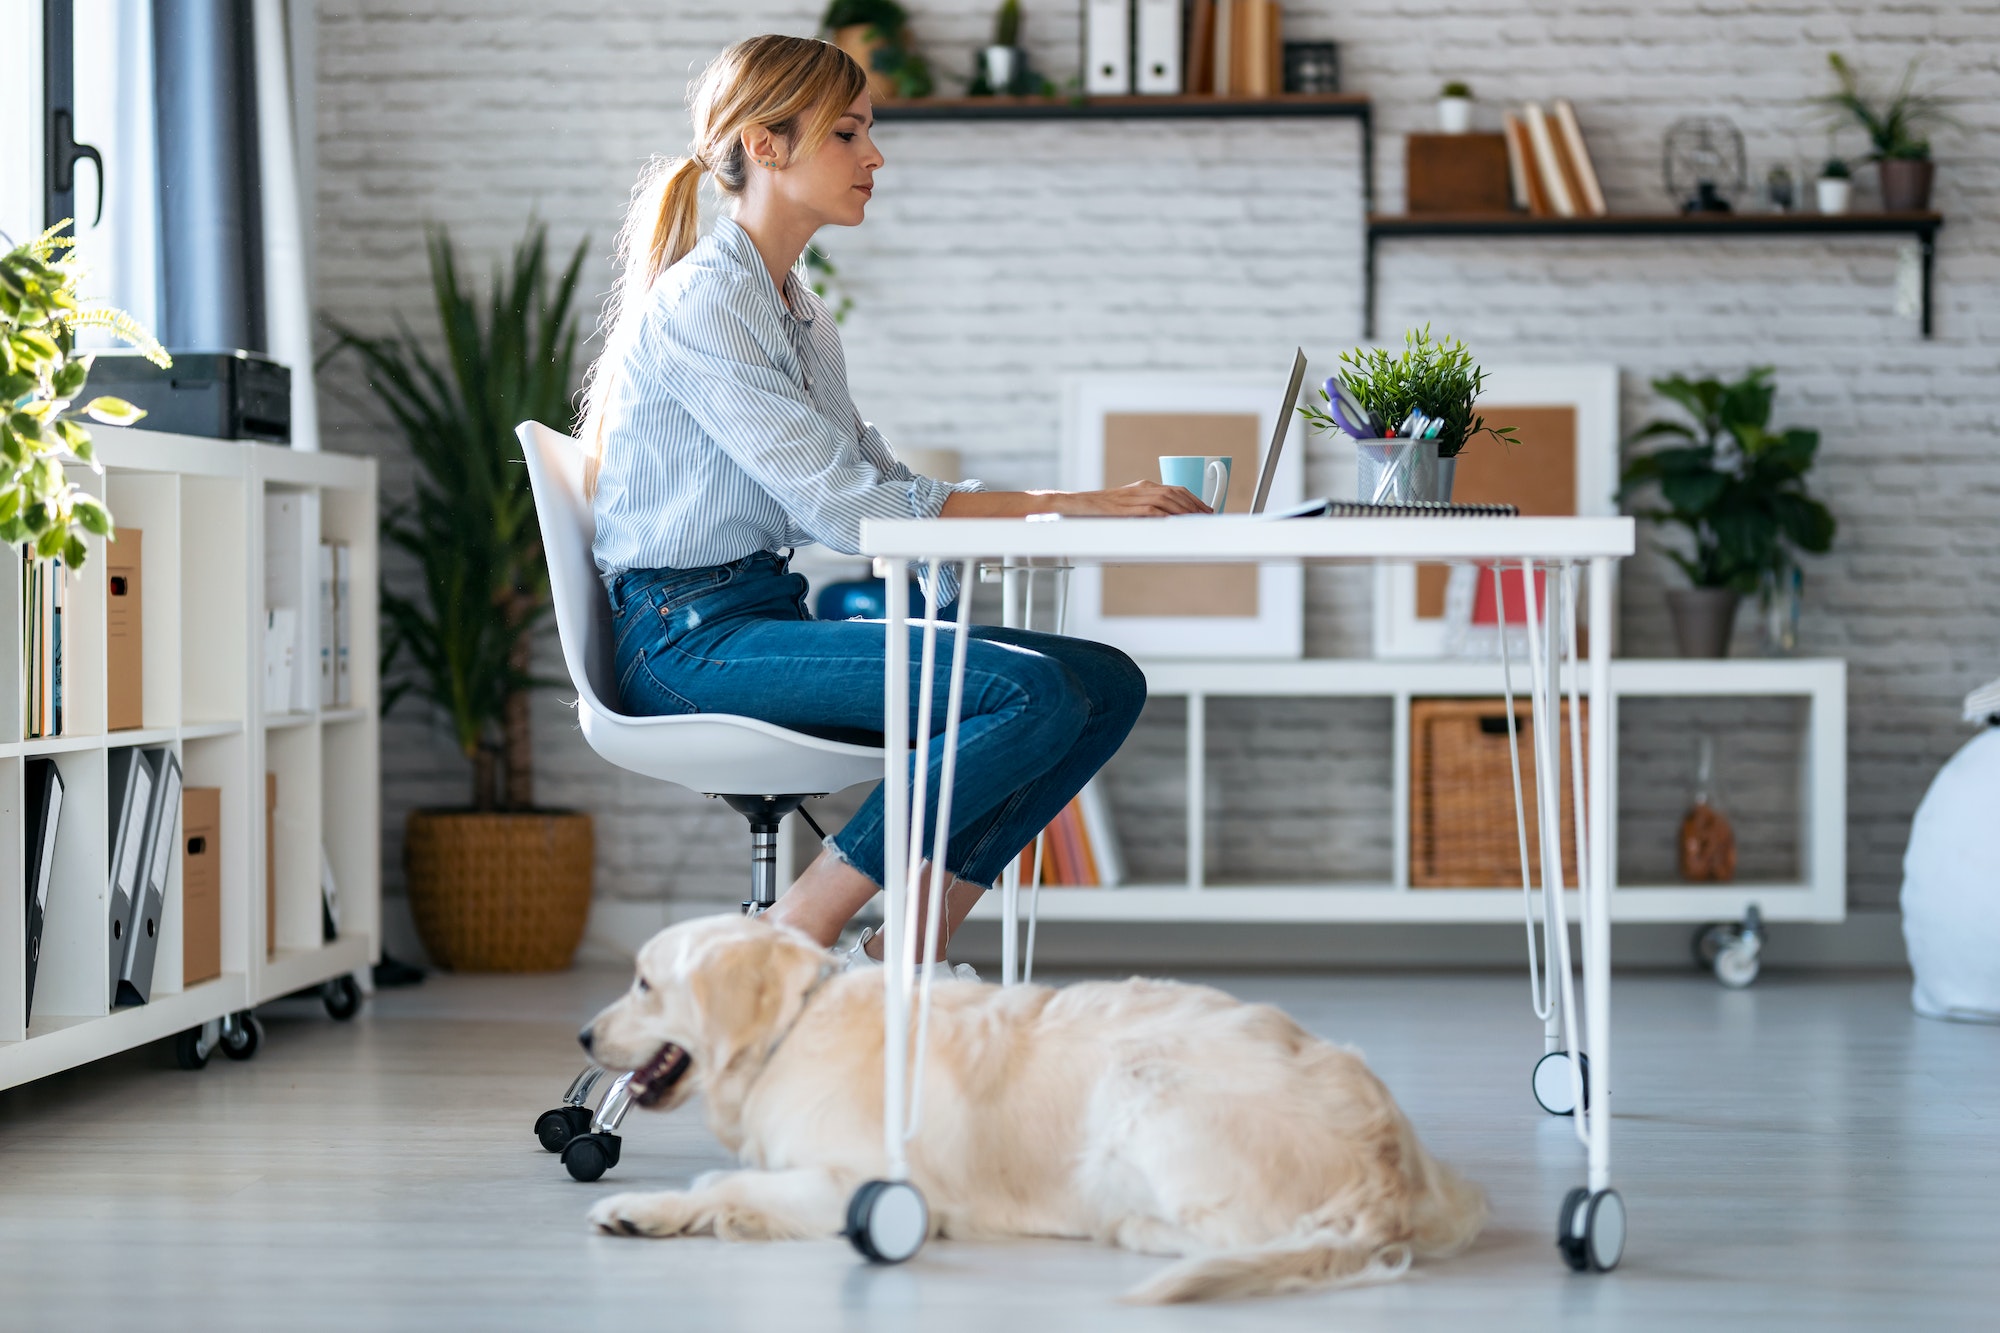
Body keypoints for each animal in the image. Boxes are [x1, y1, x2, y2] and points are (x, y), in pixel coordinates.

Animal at [580, 912, 1488, 1296]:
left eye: (644, 983)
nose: (585, 1034)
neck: (792, 1024)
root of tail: (1384, 1173)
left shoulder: (860, 1182)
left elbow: (725, 1184)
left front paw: (659, 1205)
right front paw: (644, 1213)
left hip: (1141, 1086)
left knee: (1235, 1232)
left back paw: (1129, 1224)